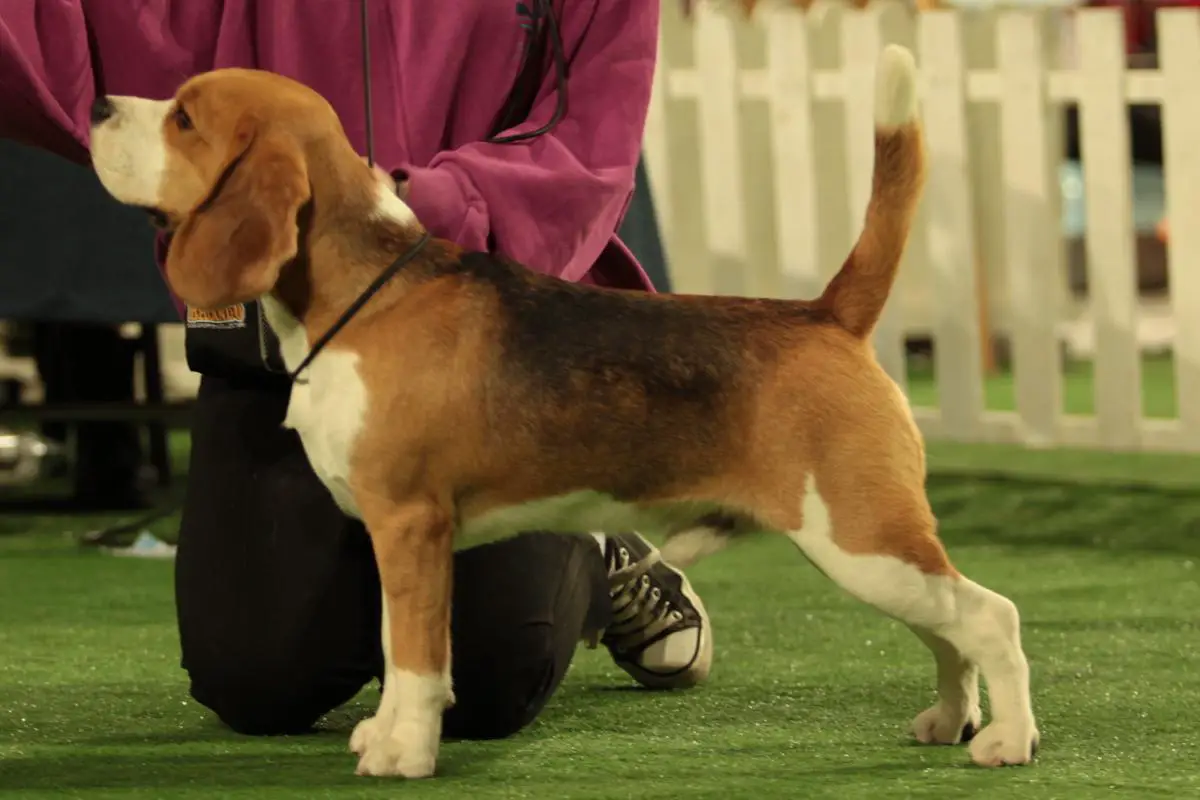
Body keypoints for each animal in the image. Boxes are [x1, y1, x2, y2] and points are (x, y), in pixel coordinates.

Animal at [88, 47, 1036, 777]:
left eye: (184, 119)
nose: (97, 103)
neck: (367, 295)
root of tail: (823, 315)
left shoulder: (410, 527)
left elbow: (416, 657)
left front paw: (404, 753)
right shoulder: (392, 541)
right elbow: (395, 648)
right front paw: (386, 734)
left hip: (863, 538)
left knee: (991, 615)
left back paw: (1008, 740)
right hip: (875, 549)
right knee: (948, 629)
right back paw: (949, 720)